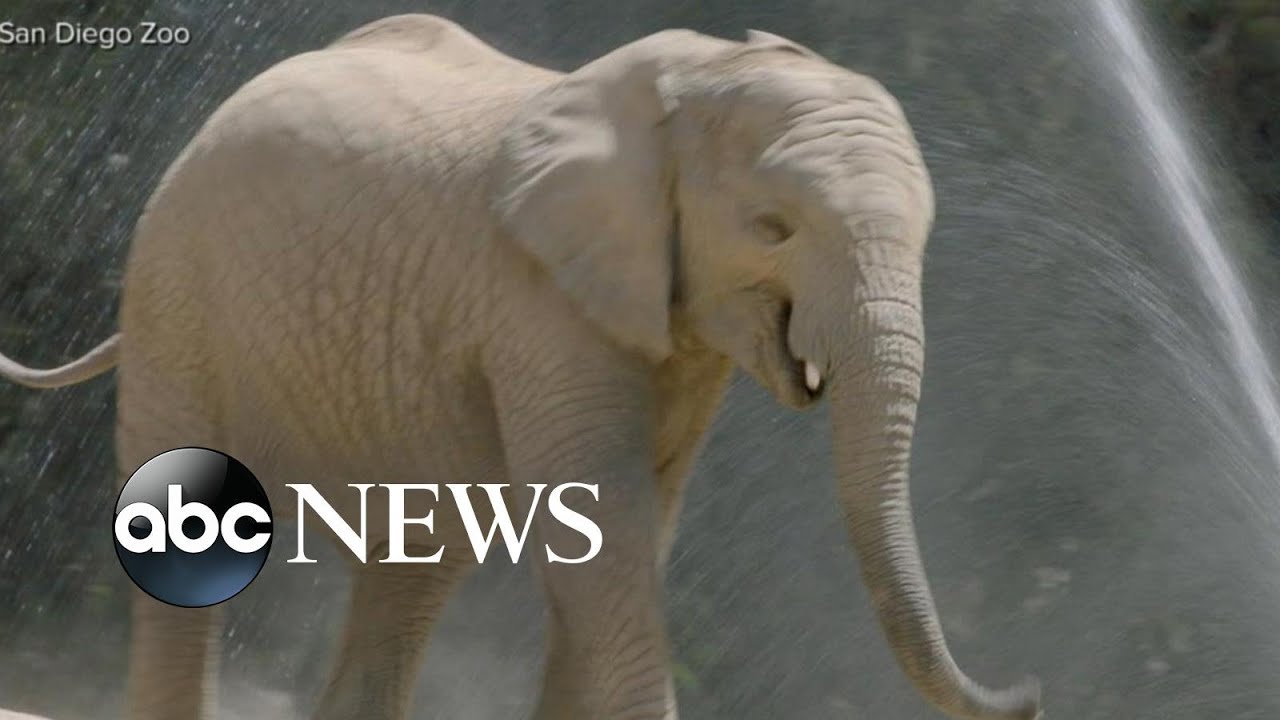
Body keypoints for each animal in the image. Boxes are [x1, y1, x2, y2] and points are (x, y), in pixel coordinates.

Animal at [0, 13, 1041, 720]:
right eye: (772, 228)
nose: (1031, 690)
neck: (697, 82)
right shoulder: (540, 301)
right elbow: (602, 521)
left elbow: (636, 530)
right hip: (175, 287)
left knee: (413, 561)